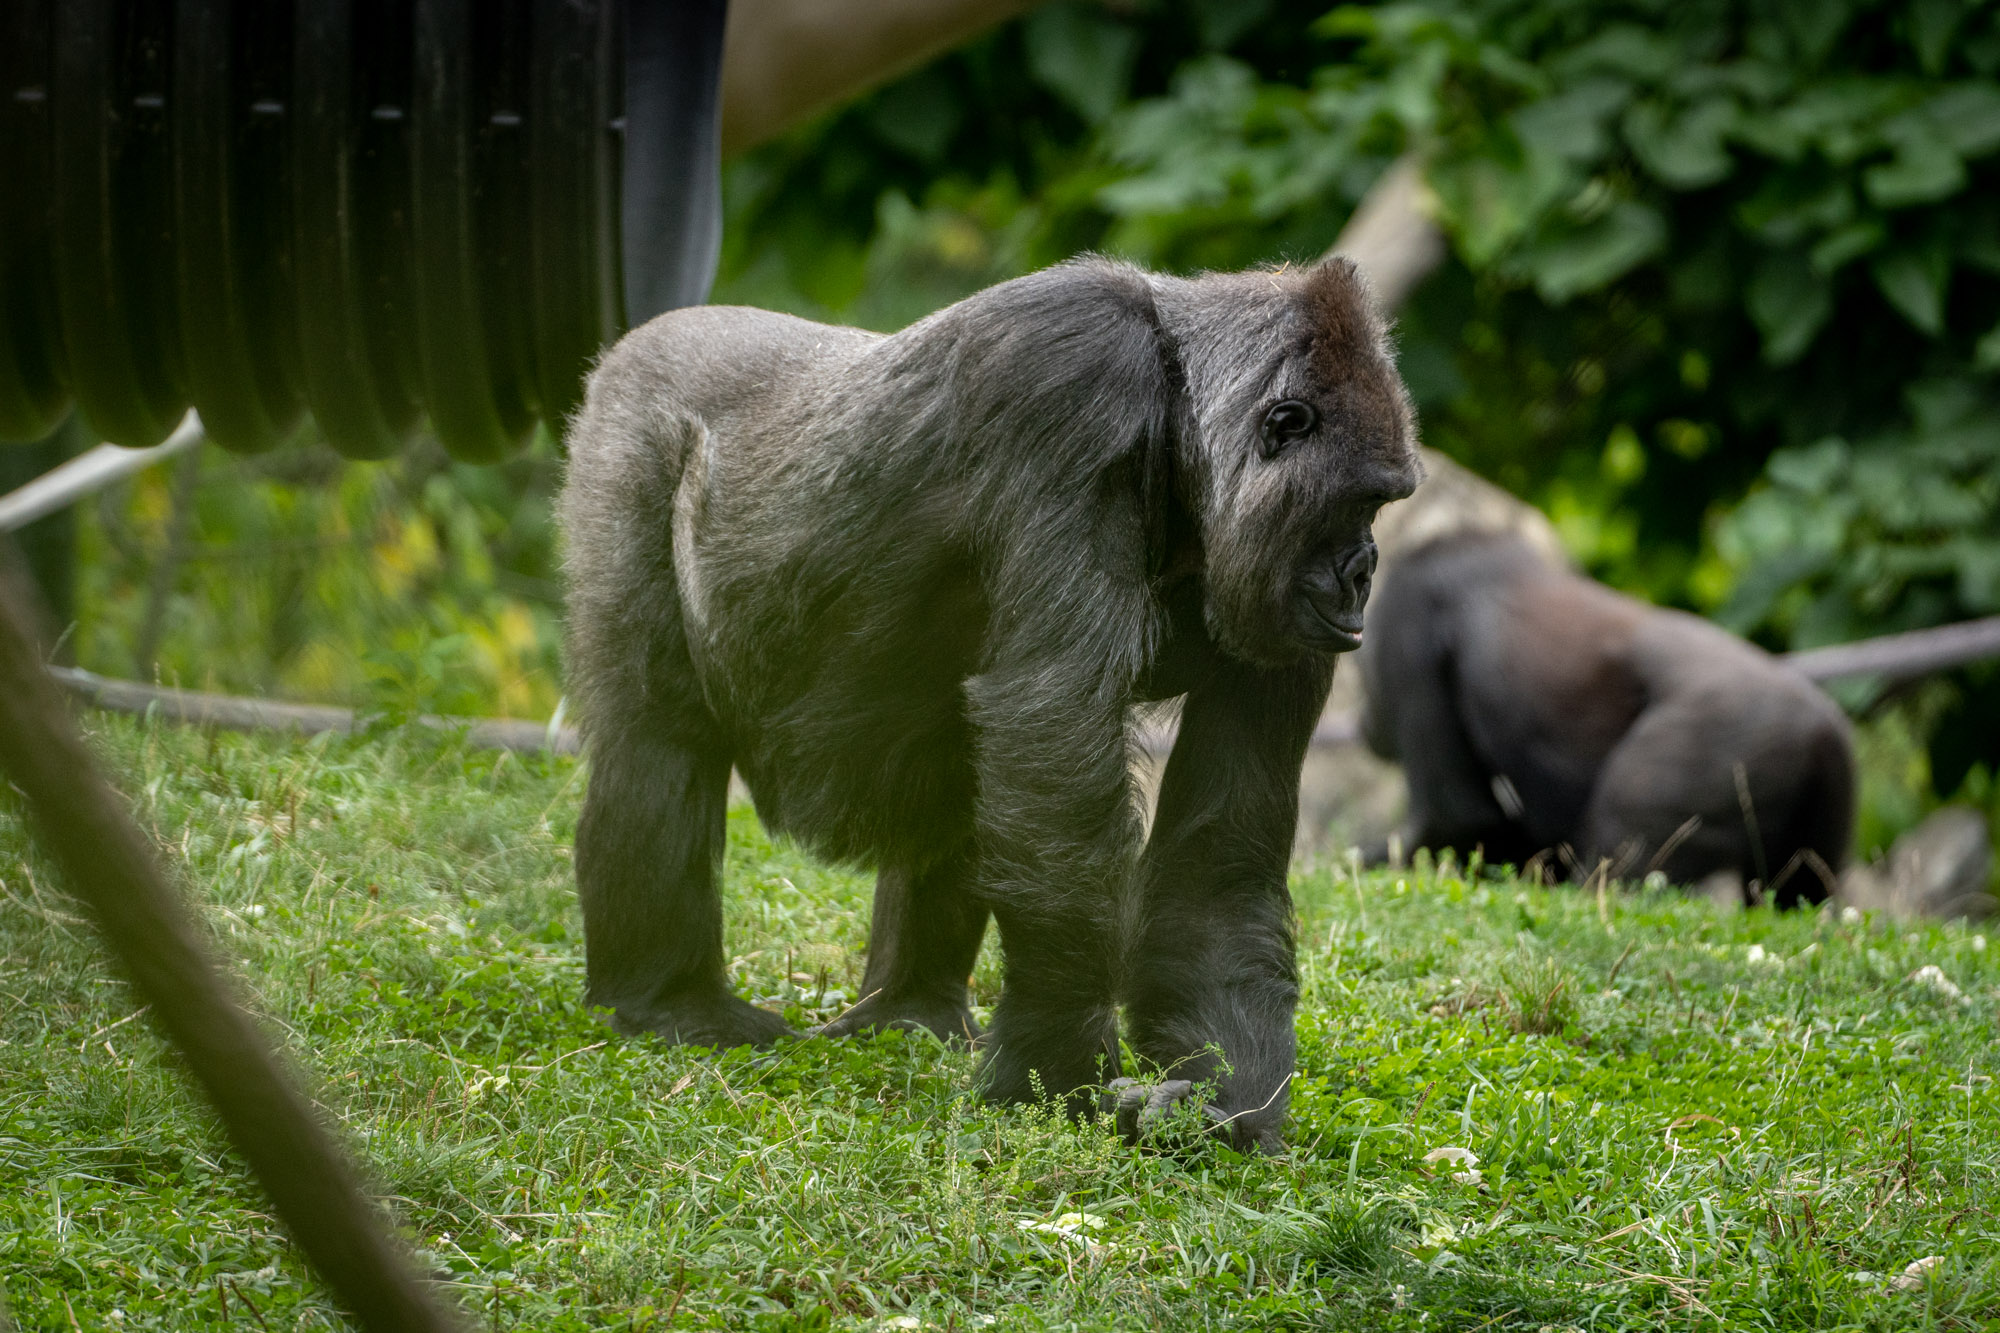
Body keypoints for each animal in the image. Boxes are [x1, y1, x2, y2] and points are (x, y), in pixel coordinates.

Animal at [556, 254, 1416, 1144]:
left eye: (1385, 504)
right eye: (1362, 501)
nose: (1365, 573)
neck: (1181, 396)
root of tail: (644, 336)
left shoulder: (1278, 601)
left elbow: (1217, 863)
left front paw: (1219, 1110)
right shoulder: (1074, 381)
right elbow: (1053, 723)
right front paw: (1066, 1072)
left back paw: (910, 1006)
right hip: (630, 428)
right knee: (657, 742)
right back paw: (670, 1000)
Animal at [1352, 528, 1848, 904]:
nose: (1363, 722)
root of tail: (1822, 725)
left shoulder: (1410, 609)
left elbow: (1454, 814)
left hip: (1724, 740)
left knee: (1614, 862)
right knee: (1800, 894)